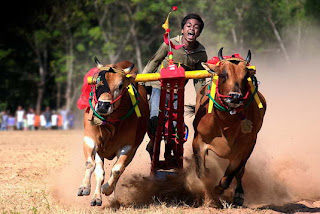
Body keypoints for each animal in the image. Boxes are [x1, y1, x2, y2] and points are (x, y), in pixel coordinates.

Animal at [77, 59, 149, 206]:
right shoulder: (90, 139)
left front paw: (107, 189)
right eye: (97, 82)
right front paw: (84, 187)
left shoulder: (128, 147)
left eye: (120, 85)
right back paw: (96, 198)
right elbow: (91, 165)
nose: (103, 105)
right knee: (100, 172)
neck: (110, 124)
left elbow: (117, 170)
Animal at [191, 48, 266, 206]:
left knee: (240, 173)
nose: (235, 97)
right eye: (223, 74)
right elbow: (202, 173)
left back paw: (239, 194)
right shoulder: (198, 140)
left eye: (245, 76)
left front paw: (218, 190)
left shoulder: (245, 148)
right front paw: (210, 198)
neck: (226, 125)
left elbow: (230, 175)